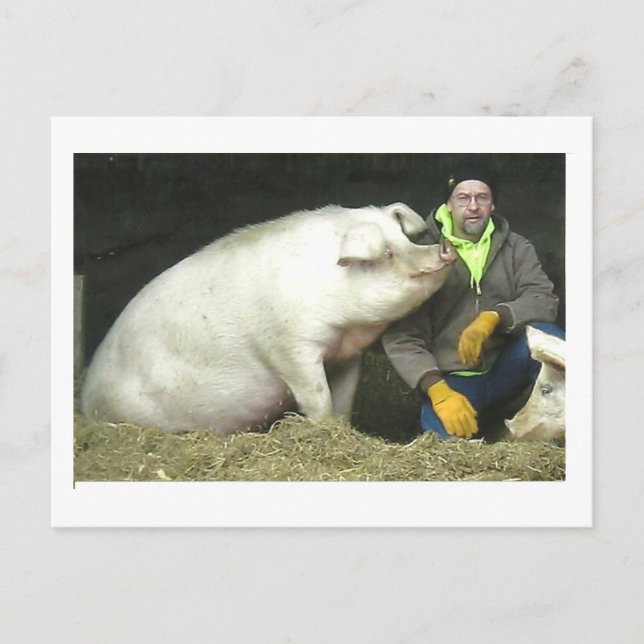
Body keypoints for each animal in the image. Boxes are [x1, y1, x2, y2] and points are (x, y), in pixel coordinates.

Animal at [81, 203, 456, 434]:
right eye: (387, 253)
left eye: (407, 237)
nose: (444, 248)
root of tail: (84, 396)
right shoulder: (289, 347)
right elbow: (317, 397)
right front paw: (325, 428)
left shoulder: (348, 354)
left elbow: (345, 399)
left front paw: (344, 428)